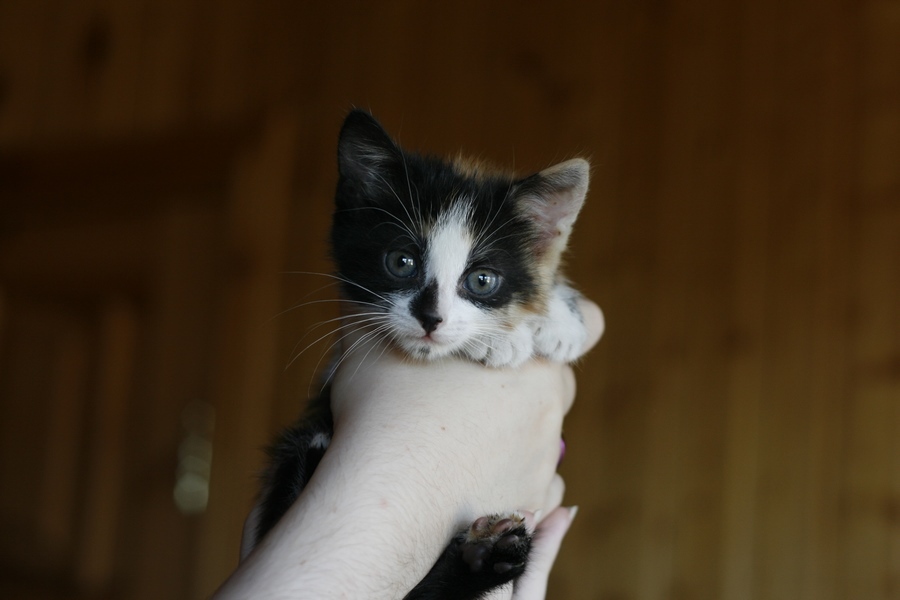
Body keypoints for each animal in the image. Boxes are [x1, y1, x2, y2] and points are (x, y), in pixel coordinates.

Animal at [253, 109, 592, 600]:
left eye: (482, 281)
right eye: (401, 262)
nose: (431, 318)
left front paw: (560, 319)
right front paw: (502, 339)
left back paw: (488, 555)